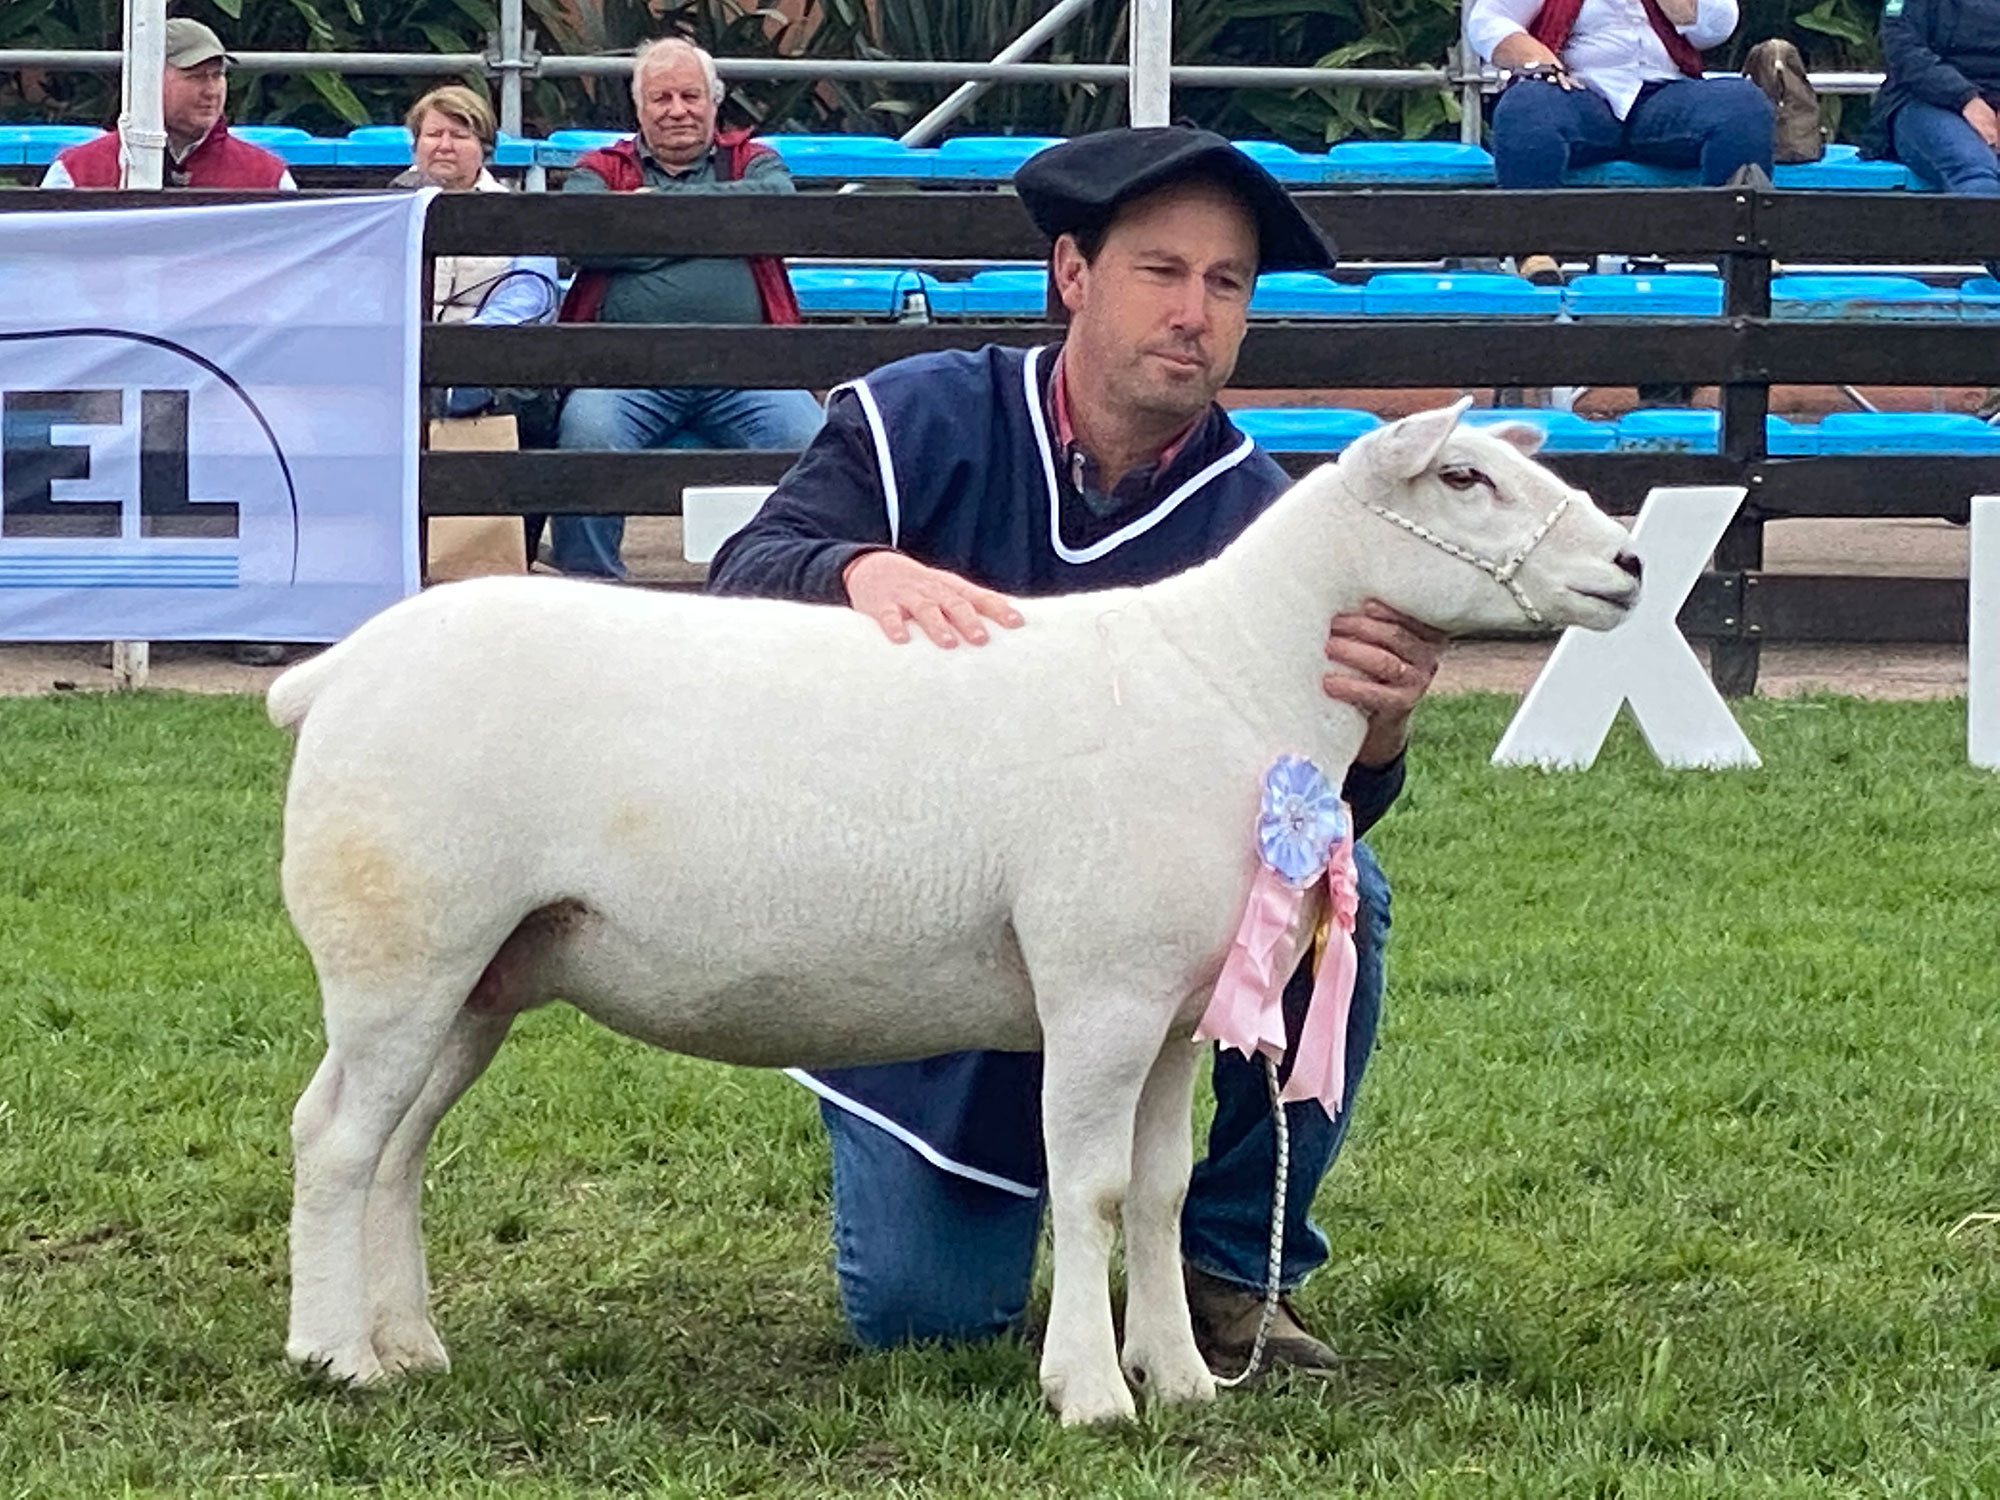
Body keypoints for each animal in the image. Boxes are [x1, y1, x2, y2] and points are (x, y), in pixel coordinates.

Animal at [270, 402, 1640, 1432]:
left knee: (396, 1148)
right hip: (399, 946)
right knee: (335, 1141)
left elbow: (1156, 1191)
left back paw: (409, 1344)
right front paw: (1089, 1393)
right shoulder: (1098, 992)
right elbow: (1090, 1188)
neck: (1228, 675)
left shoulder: (1174, 1011)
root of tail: (332, 673)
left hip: (484, 972)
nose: (1628, 565)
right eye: (1462, 476)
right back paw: (335, 1358)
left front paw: (1181, 1380)